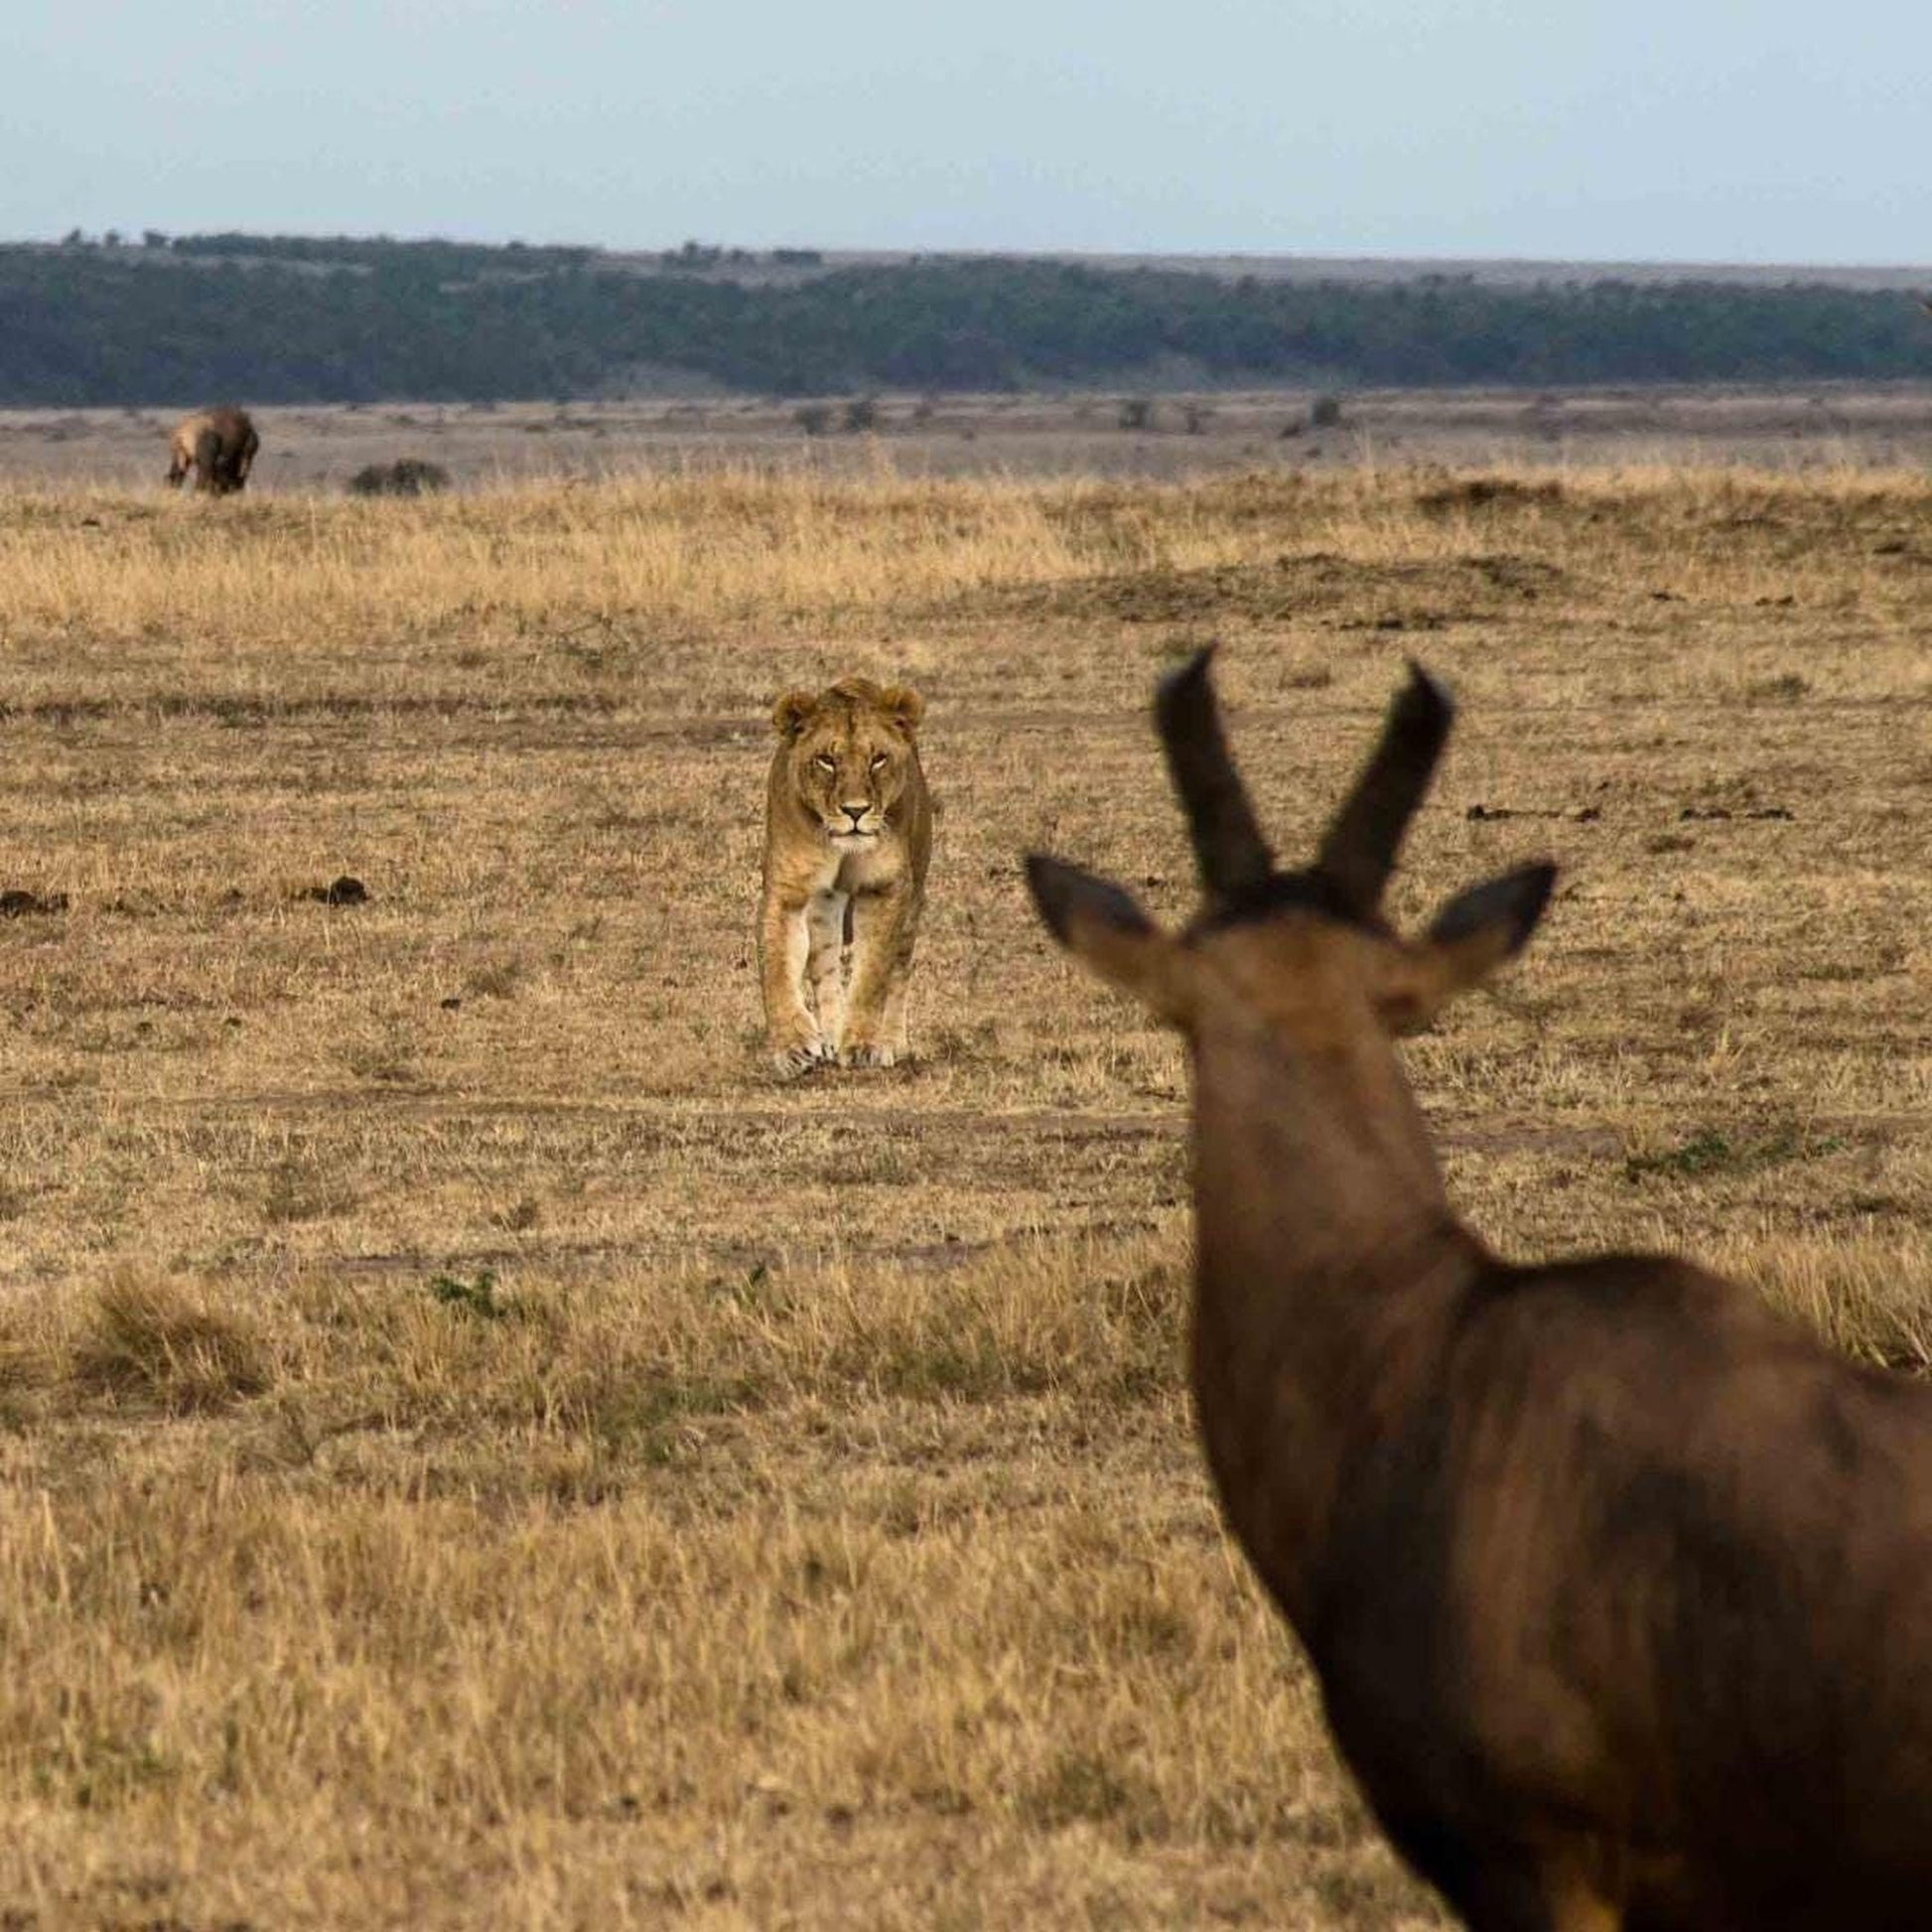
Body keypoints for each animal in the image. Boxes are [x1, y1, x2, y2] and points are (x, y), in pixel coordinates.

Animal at [759, 677, 933, 1076]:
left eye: (878, 759)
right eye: (827, 760)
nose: (856, 811)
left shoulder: (886, 889)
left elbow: (872, 974)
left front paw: (864, 1046)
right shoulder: (787, 891)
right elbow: (777, 968)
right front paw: (793, 1047)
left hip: (914, 899)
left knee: (900, 969)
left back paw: (891, 1042)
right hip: (823, 908)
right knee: (825, 969)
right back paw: (831, 1035)